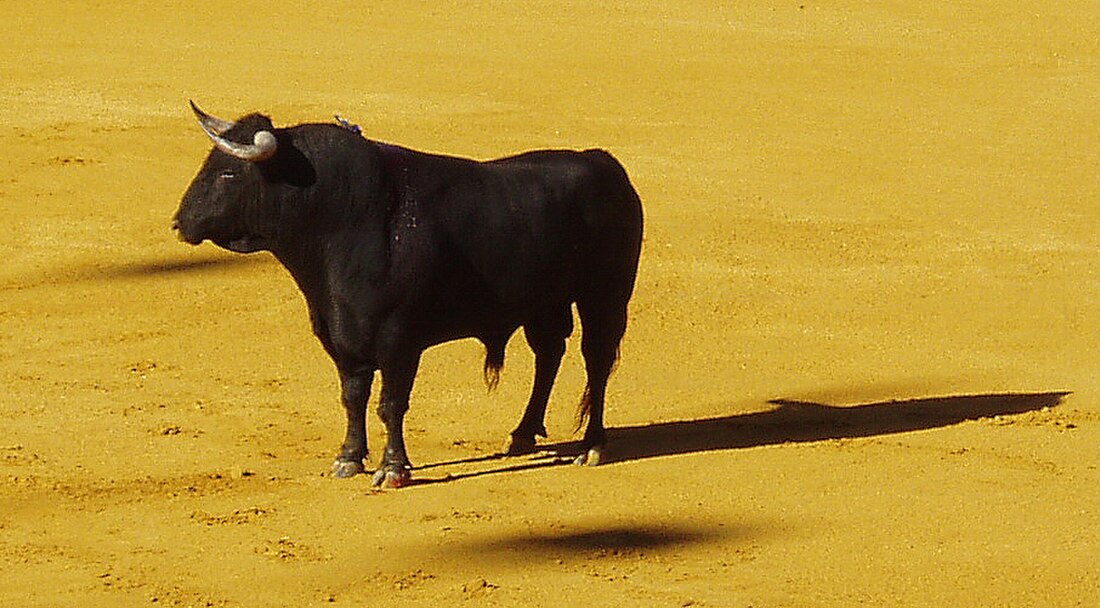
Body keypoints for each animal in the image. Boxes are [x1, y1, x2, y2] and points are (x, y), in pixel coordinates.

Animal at [173, 101, 642, 485]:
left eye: (229, 172)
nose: (179, 223)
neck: (343, 221)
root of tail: (603, 162)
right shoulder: (342, 340)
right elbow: (353, 397)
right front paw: (348, 458)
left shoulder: (399, 341)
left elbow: (391, 403)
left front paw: (393, 469)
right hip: (544, 303)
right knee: (548, 355)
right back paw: (523, 435)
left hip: (606, 296)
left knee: (596, 360)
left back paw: (591, 446)